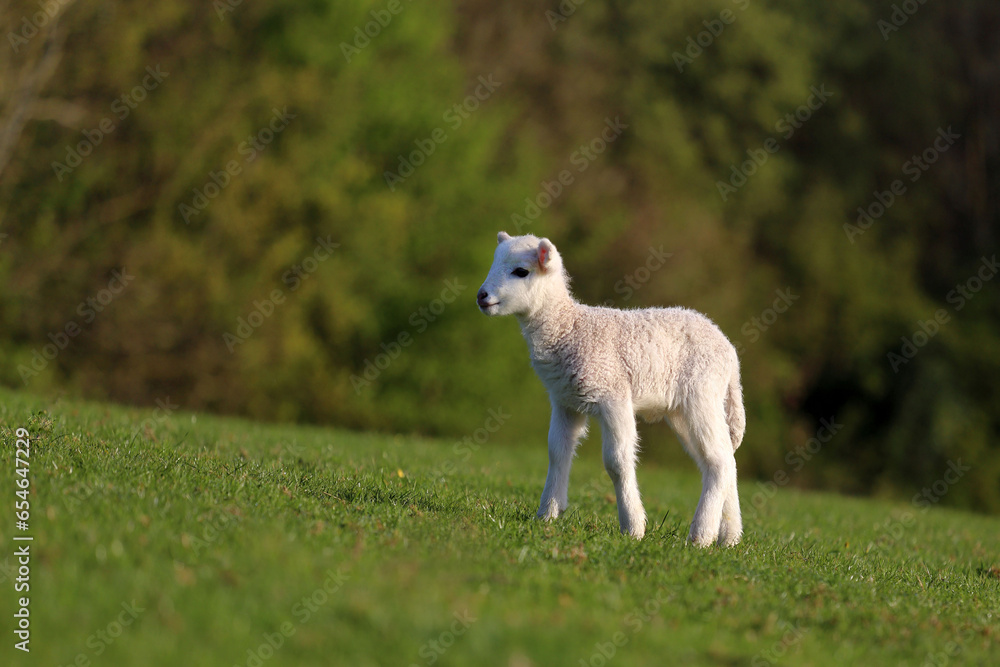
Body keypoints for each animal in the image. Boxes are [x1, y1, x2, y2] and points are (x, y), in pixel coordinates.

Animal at [477, 232, 745, 547]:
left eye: (521, 271)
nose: (481, 296)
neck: (568, 327)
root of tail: (730, 353)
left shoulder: (613, 395)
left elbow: (617, 462)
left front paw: (633, 527)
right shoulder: (564, 400)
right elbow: (557, 452)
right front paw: (547, 515)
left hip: (701, 394)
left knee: (719, 461)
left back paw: (701, 536)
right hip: (682, 409)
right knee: (724, 458)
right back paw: (729, 536)